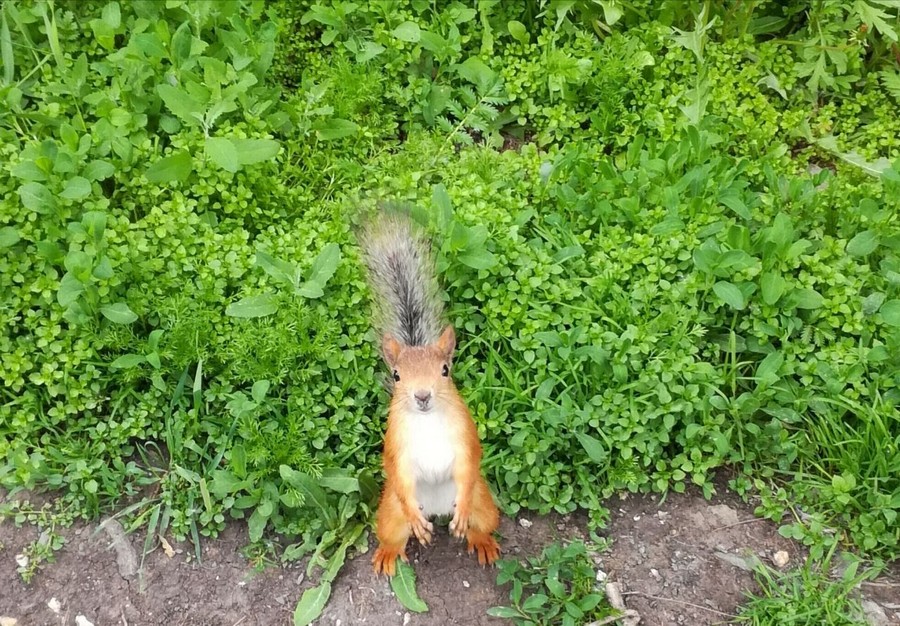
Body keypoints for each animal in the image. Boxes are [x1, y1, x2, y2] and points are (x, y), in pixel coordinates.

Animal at [358, 210, 501, 576]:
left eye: (445, 370)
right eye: (396, 376)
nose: (422, 396)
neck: (428, 422)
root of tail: (438, 511)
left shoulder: (464, 436)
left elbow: (468, 463)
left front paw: (462, 514)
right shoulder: (398, 446)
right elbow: (399, 471)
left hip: (484, 504)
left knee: (480, 524)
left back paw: (480, 540)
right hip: (389, 514)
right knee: (394, 533)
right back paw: (390, 552)